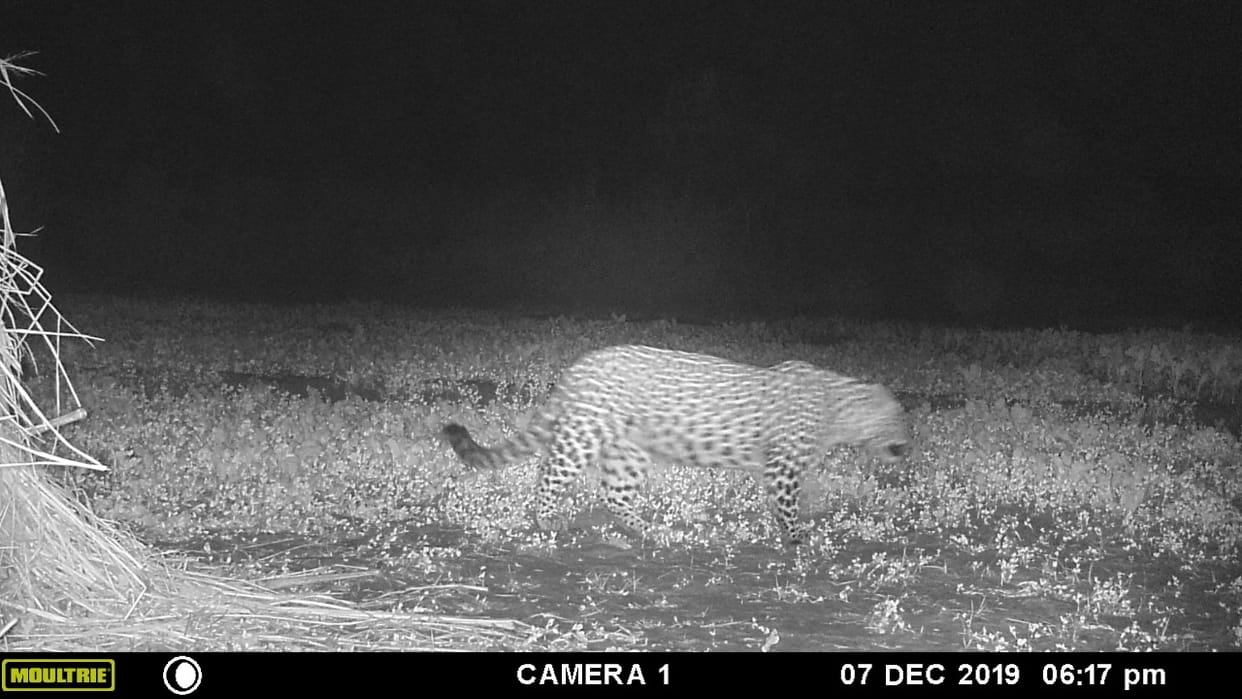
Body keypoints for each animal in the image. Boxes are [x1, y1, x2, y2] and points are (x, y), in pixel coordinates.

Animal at [441, 345, 910, 546]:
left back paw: (656, 531)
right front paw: (799, 538)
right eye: (900, 418)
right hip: (583, 436)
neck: (838, 410)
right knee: (549, 474)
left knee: (614, 496)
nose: (909, 443)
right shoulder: (784, 468)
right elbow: (789, 507)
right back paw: (547, 520)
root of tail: (581, 364)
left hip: (627, 452)